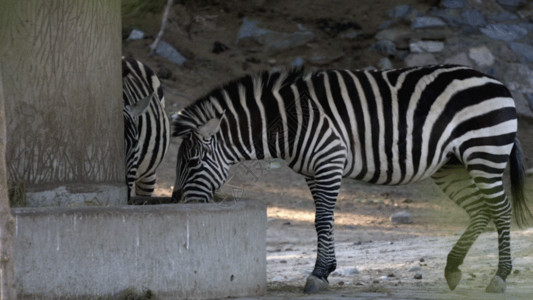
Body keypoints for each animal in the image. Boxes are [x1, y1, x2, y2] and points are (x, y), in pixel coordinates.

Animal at [170, 65, 528, 292]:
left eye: (193, 162)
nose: (178, 204)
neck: (287, 122)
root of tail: (499, 84)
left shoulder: (330, 160)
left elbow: (322, 219)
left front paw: (317, 275)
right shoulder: (313, 171)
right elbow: (323, 220)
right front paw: (326, 270)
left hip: (485, 153)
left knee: (501, 210)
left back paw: (499, 277)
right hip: (450, 166)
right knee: (480, 211)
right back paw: (453, 268)